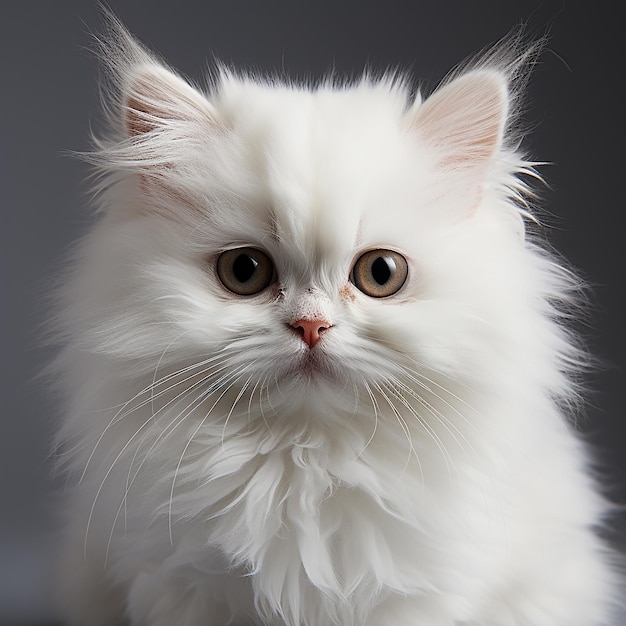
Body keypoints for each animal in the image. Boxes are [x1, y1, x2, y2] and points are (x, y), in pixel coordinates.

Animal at [52, 14, 620, 624]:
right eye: (244, 270)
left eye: (381, 273)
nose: (310, 327)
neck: (307, 464)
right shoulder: (180, 586)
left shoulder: (422, 597)